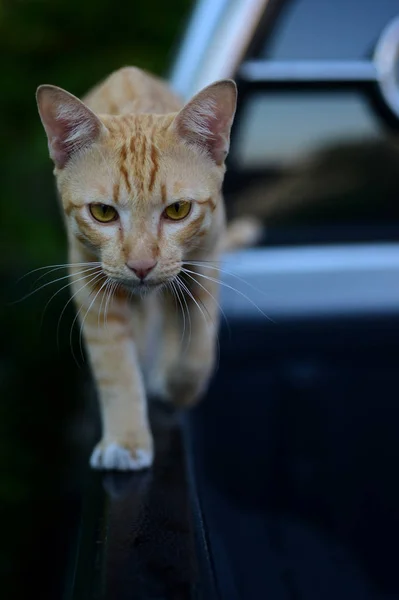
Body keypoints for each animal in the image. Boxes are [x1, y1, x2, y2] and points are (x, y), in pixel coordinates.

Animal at [36, 68, 260, 472]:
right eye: (103, 212)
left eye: (177, 210)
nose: (141, 265)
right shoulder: (91, 282)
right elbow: (116, 366)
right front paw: (126, 439)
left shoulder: (203, 267)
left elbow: (197, 346)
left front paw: (179, 385)